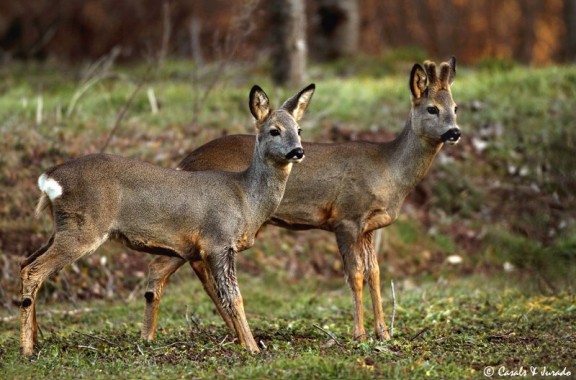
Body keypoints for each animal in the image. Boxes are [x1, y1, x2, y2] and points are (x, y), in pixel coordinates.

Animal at [19, 83, 316, 356]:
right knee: (33, 270)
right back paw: (26, 349)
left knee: (25, 262)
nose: (298, 152)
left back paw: (36, 340)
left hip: (63, 227)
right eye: (274, 130)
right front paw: (253, 348)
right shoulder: (218, 241)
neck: (246, 199)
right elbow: (234, 298)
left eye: (299, 130)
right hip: (84, 227)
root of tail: (49, 179)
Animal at [145, 58, 464, 342]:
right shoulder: (346, 217)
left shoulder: (369, 227)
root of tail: (184, 161)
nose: (455, 132)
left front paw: (383, 333)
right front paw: (359, 335)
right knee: (173, 266)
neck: (390, 170)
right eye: (432, 109)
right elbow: (355, 274)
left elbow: (374, 273)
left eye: (455, 108)